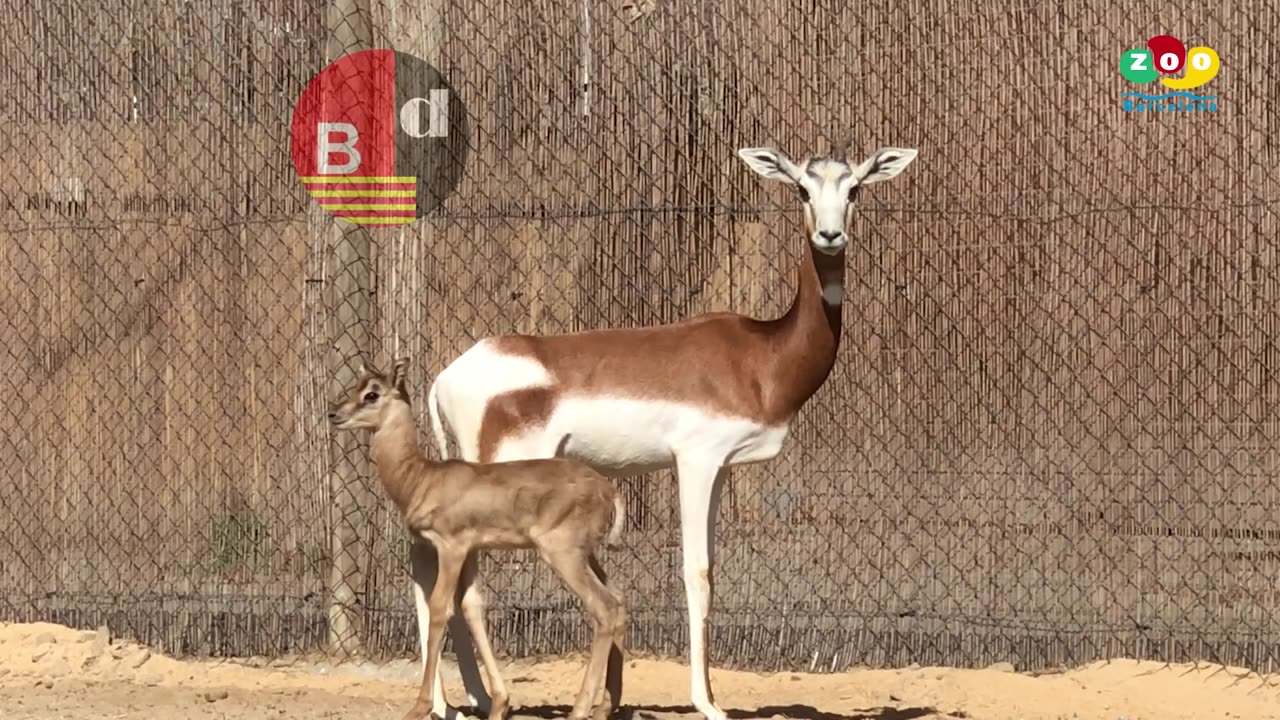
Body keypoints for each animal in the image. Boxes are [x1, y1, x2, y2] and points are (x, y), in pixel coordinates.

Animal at [330, 356, 629, 717]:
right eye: (356, 387)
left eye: (372, 393)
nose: (335, 414)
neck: (421, 479)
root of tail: (607, 488)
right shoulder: (472, 551)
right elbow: (472, 608)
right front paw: (500, 704)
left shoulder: (451, 547)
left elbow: (440, 608)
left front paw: (420, 707)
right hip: (587, 554)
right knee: (619, 600)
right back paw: (605, 706)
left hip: (562, 554)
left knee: (604, 608)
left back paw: (579, 710)